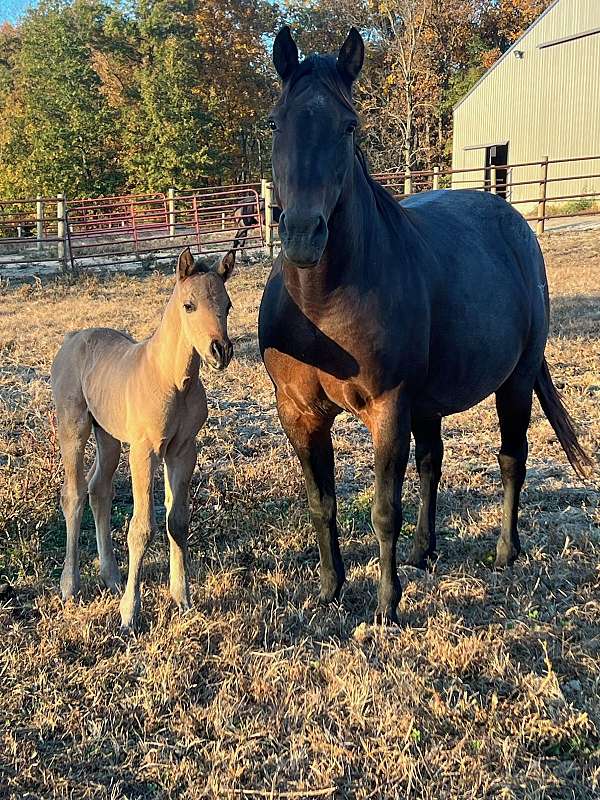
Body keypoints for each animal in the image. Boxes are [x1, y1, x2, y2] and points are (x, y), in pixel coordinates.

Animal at [51, 250, 236, 632]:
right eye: (189, 305)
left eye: (227, 305)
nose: (220, 350)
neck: (172, 379)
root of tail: (74, 338)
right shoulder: (144, 450)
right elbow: (141, 528)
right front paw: (129, 613)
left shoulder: (183, 450)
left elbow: (176, 521)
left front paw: (183, 599)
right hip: (74, 427)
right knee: (74, 493)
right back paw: (70, 586)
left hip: (107, 436)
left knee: (99, 489)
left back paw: (111, 577)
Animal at [258, 26, 592, 624]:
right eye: (276, 122)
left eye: (349, 126)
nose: (301, 235)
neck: (322, 305)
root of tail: (514, 224)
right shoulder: (298, 413)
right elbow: (323, 503)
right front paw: (329, 591)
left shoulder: (389, 408)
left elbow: (383, 509)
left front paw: (386, 607)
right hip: (430, 403)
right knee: (432, 465)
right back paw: (423, 553)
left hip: (514, 382)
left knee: (512, 459)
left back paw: (505, 552)